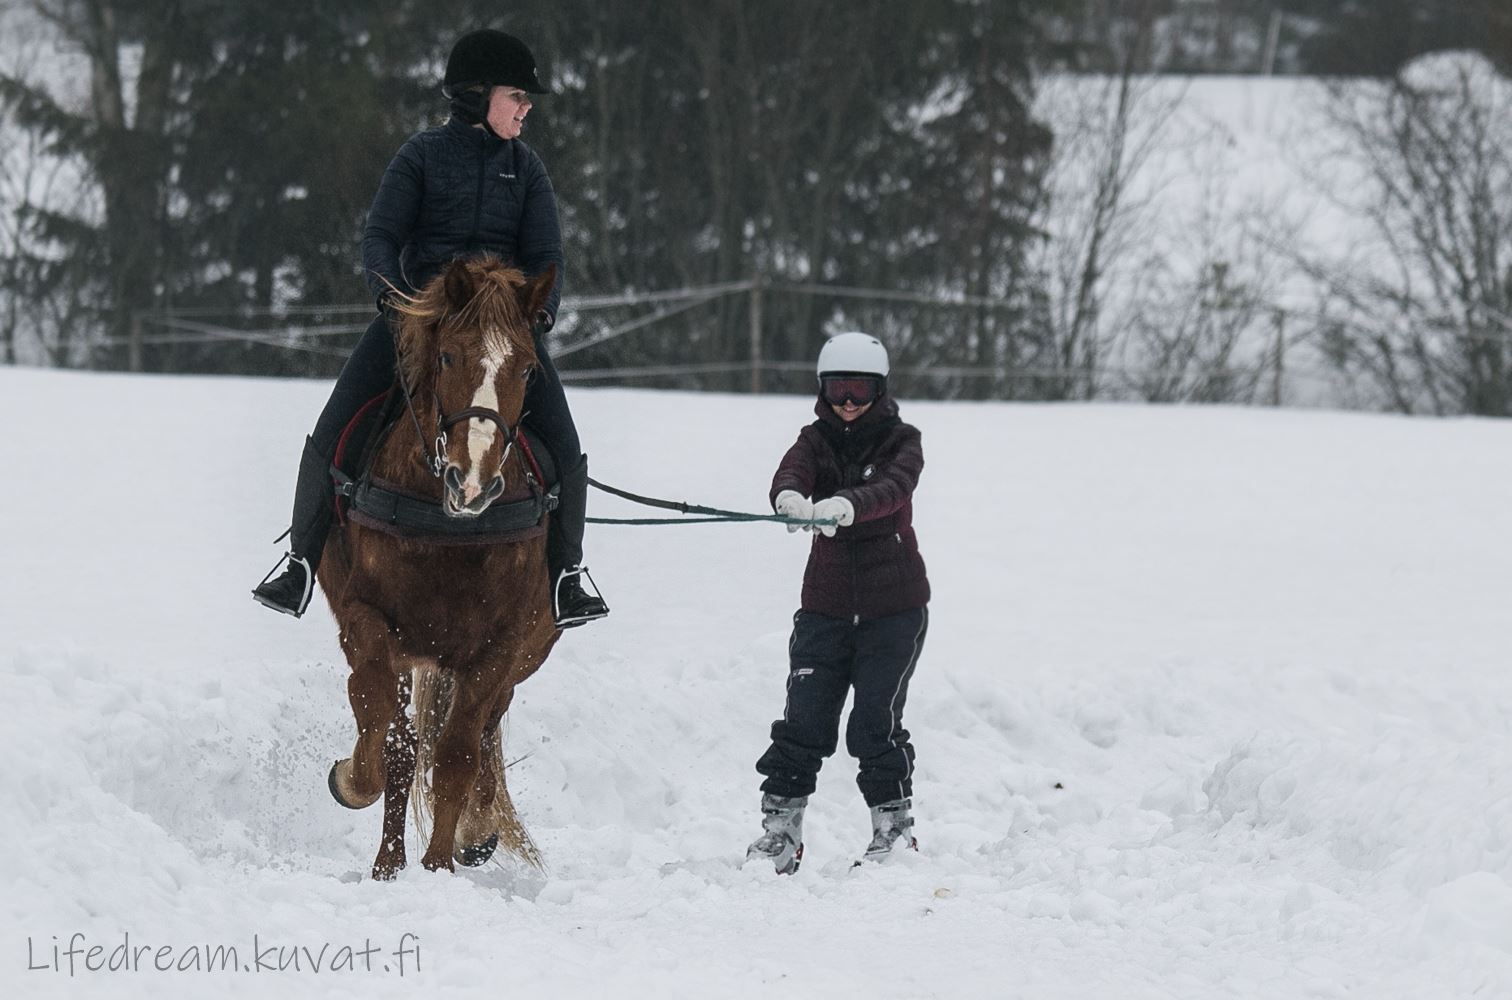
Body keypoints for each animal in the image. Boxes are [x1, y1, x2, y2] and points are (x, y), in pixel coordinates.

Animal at [319, 258, 562, 883]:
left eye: (528, 367)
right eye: (449, 356)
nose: (471, 481)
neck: (449, 526)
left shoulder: (497, 649)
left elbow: (456, 755)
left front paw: (439, 868)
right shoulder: (367, 620)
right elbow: (381, 719)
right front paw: (353, 781)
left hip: (520, 656)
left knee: (480, 735)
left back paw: (472, 834)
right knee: (404, 742)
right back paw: (388, 865)